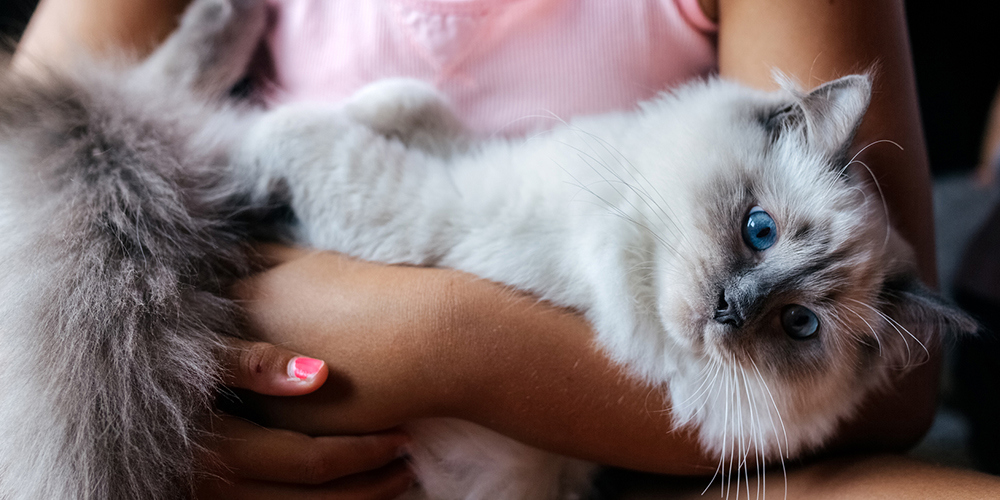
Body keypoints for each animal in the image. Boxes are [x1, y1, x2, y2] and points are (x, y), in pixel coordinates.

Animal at [0, 0, 976, 499]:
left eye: (799, 326)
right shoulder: (491, 161)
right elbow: (418, 109)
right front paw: (373, 104)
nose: (730, 310)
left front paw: (259, 141)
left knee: (141, 100)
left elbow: (301, 135)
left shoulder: (420, 212)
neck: (613, 226)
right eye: (759, 230)